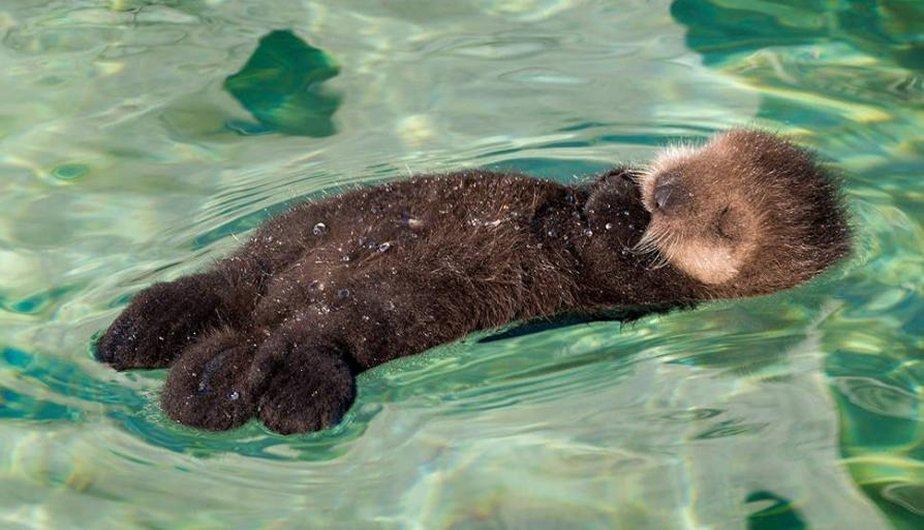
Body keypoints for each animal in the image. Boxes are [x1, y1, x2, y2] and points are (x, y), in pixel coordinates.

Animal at [94, 129, 852, 434]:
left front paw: (616, 206)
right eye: (699, 156)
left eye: (721, 221)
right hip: (290, 239)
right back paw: (134, 332)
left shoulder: (637, 287)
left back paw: (282, 399)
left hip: (370, 314)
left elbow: (609, 253)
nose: (660, 189)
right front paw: (611, 185)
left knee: (305, 341)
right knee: (227, 284)